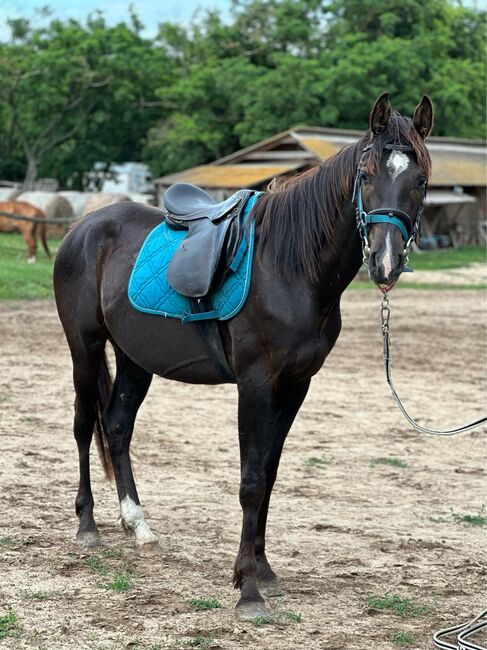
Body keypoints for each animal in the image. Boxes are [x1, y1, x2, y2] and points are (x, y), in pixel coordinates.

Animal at [54, 95, 434, 616]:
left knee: (116, 426)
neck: (291, 266)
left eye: (420, 180)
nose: (385, 262)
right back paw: (87, 525)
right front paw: (248, 590)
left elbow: (269, 474)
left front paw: (264, 571)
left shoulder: (295, 386)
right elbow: (251, 479)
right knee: (81, 425)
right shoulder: (255, 383)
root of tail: (83, 228)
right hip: (85, 348)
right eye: (366, 173)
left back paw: (138, 525)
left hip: (135, 359)